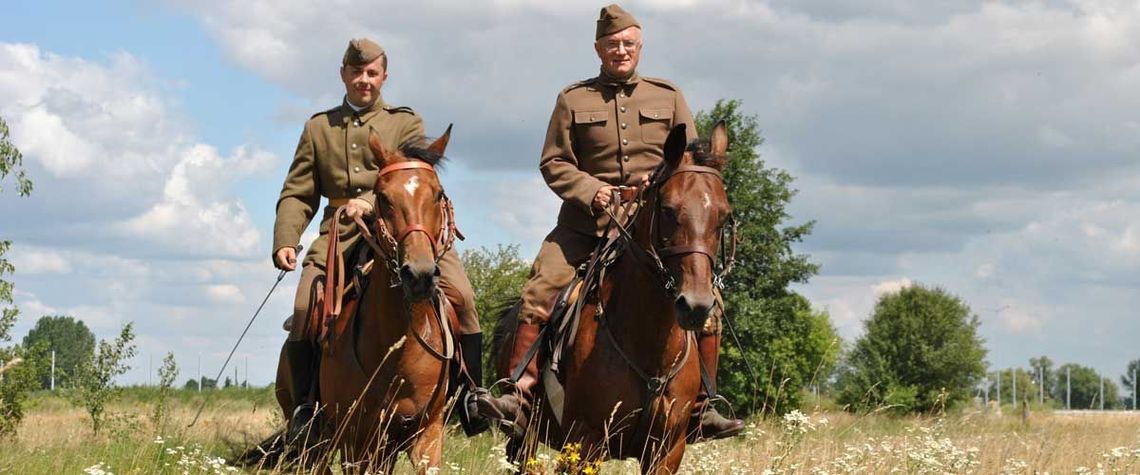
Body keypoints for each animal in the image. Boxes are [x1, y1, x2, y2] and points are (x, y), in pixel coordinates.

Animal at [272, 125, 462, 473]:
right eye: (383, 197)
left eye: (437, 194)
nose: (420, 275)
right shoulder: (356, 441)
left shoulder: (428, 434)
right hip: (316, 444)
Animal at [494, 123, 734, 473]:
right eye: (668, 210)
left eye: (724, 216)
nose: (696, 306)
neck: (650, 344)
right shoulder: (584, 443)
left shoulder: (667, 450)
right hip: (525, 436)